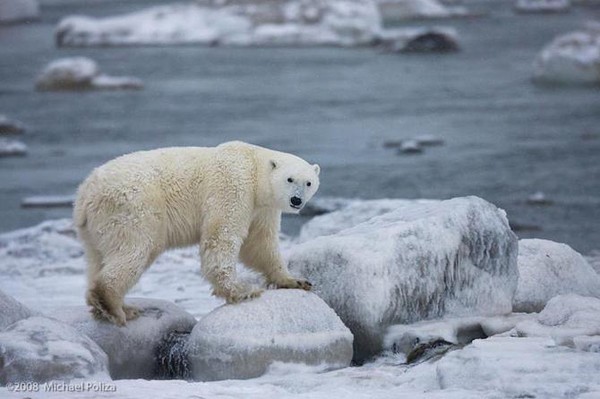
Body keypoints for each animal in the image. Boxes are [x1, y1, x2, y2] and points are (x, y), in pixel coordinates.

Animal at [73, 142, 322, 326]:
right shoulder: (233, 187)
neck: (253, 165)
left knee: (98, 257)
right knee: (135, 250)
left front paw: (295, 280)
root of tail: (85, 192)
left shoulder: (262, 209)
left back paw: (109, 306)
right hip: (133, 207)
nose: (296, 200)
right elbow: (222, 236)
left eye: (309, 182)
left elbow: (260, 244)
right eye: (289, 179)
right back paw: (116, 306)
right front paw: (242, 290)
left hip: (96, 227)